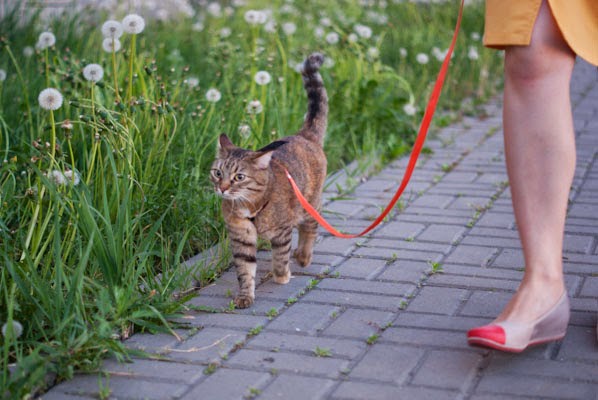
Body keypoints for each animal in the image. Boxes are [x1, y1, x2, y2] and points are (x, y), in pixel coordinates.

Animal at [211, 52, 330, 310]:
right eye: (217, 173)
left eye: (239, 177)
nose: (222, 188)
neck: (250, 207)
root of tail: (304, 134)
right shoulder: (241, 238)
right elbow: (245, 270)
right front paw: (245, 295)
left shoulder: (282, 230)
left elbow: (280, 256)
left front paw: (281, 276)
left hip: (308, 203)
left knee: (309, 227)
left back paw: (303, 255)